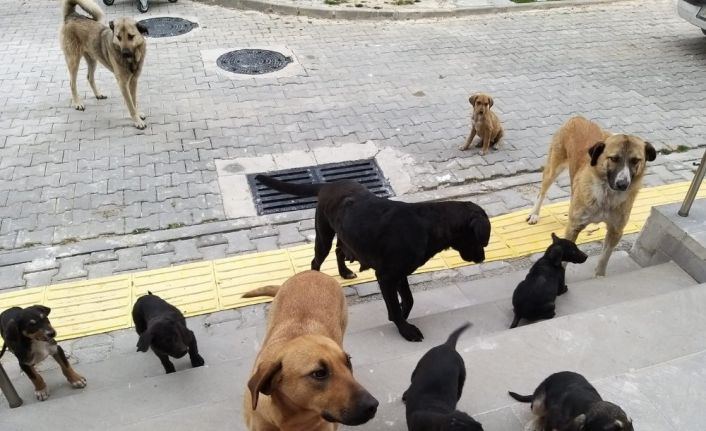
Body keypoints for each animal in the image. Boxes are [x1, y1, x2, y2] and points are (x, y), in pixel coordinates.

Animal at [60, 0, 149, 129]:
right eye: (118, 37)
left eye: (131, 36)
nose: (124, 53)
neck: (132, 58)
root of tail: (72, 15)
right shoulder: (123, 84)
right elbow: (130, 105)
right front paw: (137, 120)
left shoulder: (133, 81)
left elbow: (134, 101)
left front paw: (138, 114)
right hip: (73, 60)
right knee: (72, 83)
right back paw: (78, 103)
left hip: (92, 60)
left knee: (89, 77)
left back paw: (98, 95)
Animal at [255, 174, 491, 342]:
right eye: (481, 241)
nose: (482, 259)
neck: (429, 225)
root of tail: (328, 185)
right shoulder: (386, 276)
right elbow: (394, 306)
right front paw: (405, 329)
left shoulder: (400, 274)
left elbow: (409, 299)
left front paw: (404, 314)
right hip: (323, 235)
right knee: (316, 261)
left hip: (347, 237)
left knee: (339, 251)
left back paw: (344, 272)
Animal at [526, 116, 656, 276]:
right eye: (613, 158)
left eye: (635, 160)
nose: (622, 184)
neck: (607, 196)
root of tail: (578, 117)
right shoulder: (573, 228)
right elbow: (564, 259)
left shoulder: (615, 231)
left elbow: (604, 259)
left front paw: (599, 276)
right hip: (553, 168)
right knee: (542, 191)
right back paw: (534, 214)